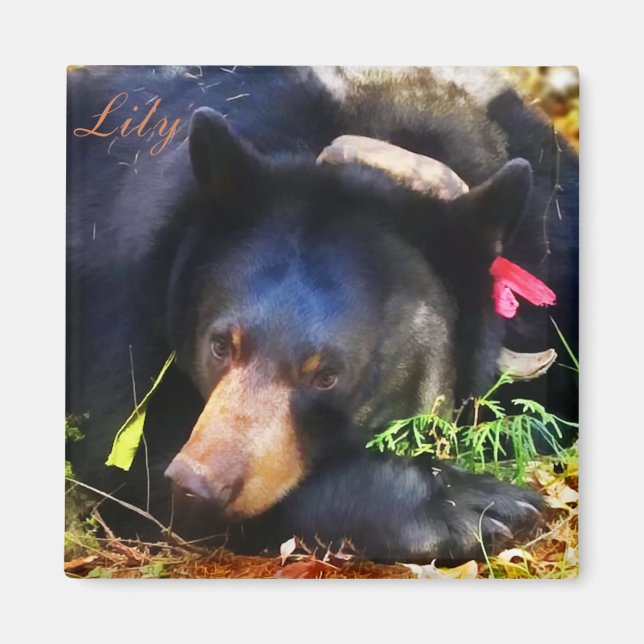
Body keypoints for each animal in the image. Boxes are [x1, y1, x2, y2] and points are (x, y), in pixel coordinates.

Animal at [66, 66, 578, 563]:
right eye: (220, 345)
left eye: (327, 376)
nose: (196, 485)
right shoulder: (128, 295)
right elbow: (126, 454)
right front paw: (477, 505)